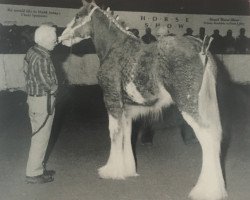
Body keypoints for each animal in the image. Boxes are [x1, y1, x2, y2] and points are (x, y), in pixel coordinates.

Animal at [59, 1, 228, 198]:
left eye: (78, 16)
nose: (61, 37)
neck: (115, 48)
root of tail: (201, 48)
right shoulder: (126, 109)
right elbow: (126, 133)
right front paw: (127, 169)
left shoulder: (111, 100)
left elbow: (113, 132)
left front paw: (111, 170)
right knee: (215, 135)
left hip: (189, 105)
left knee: (207, 136)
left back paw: (205, 190)